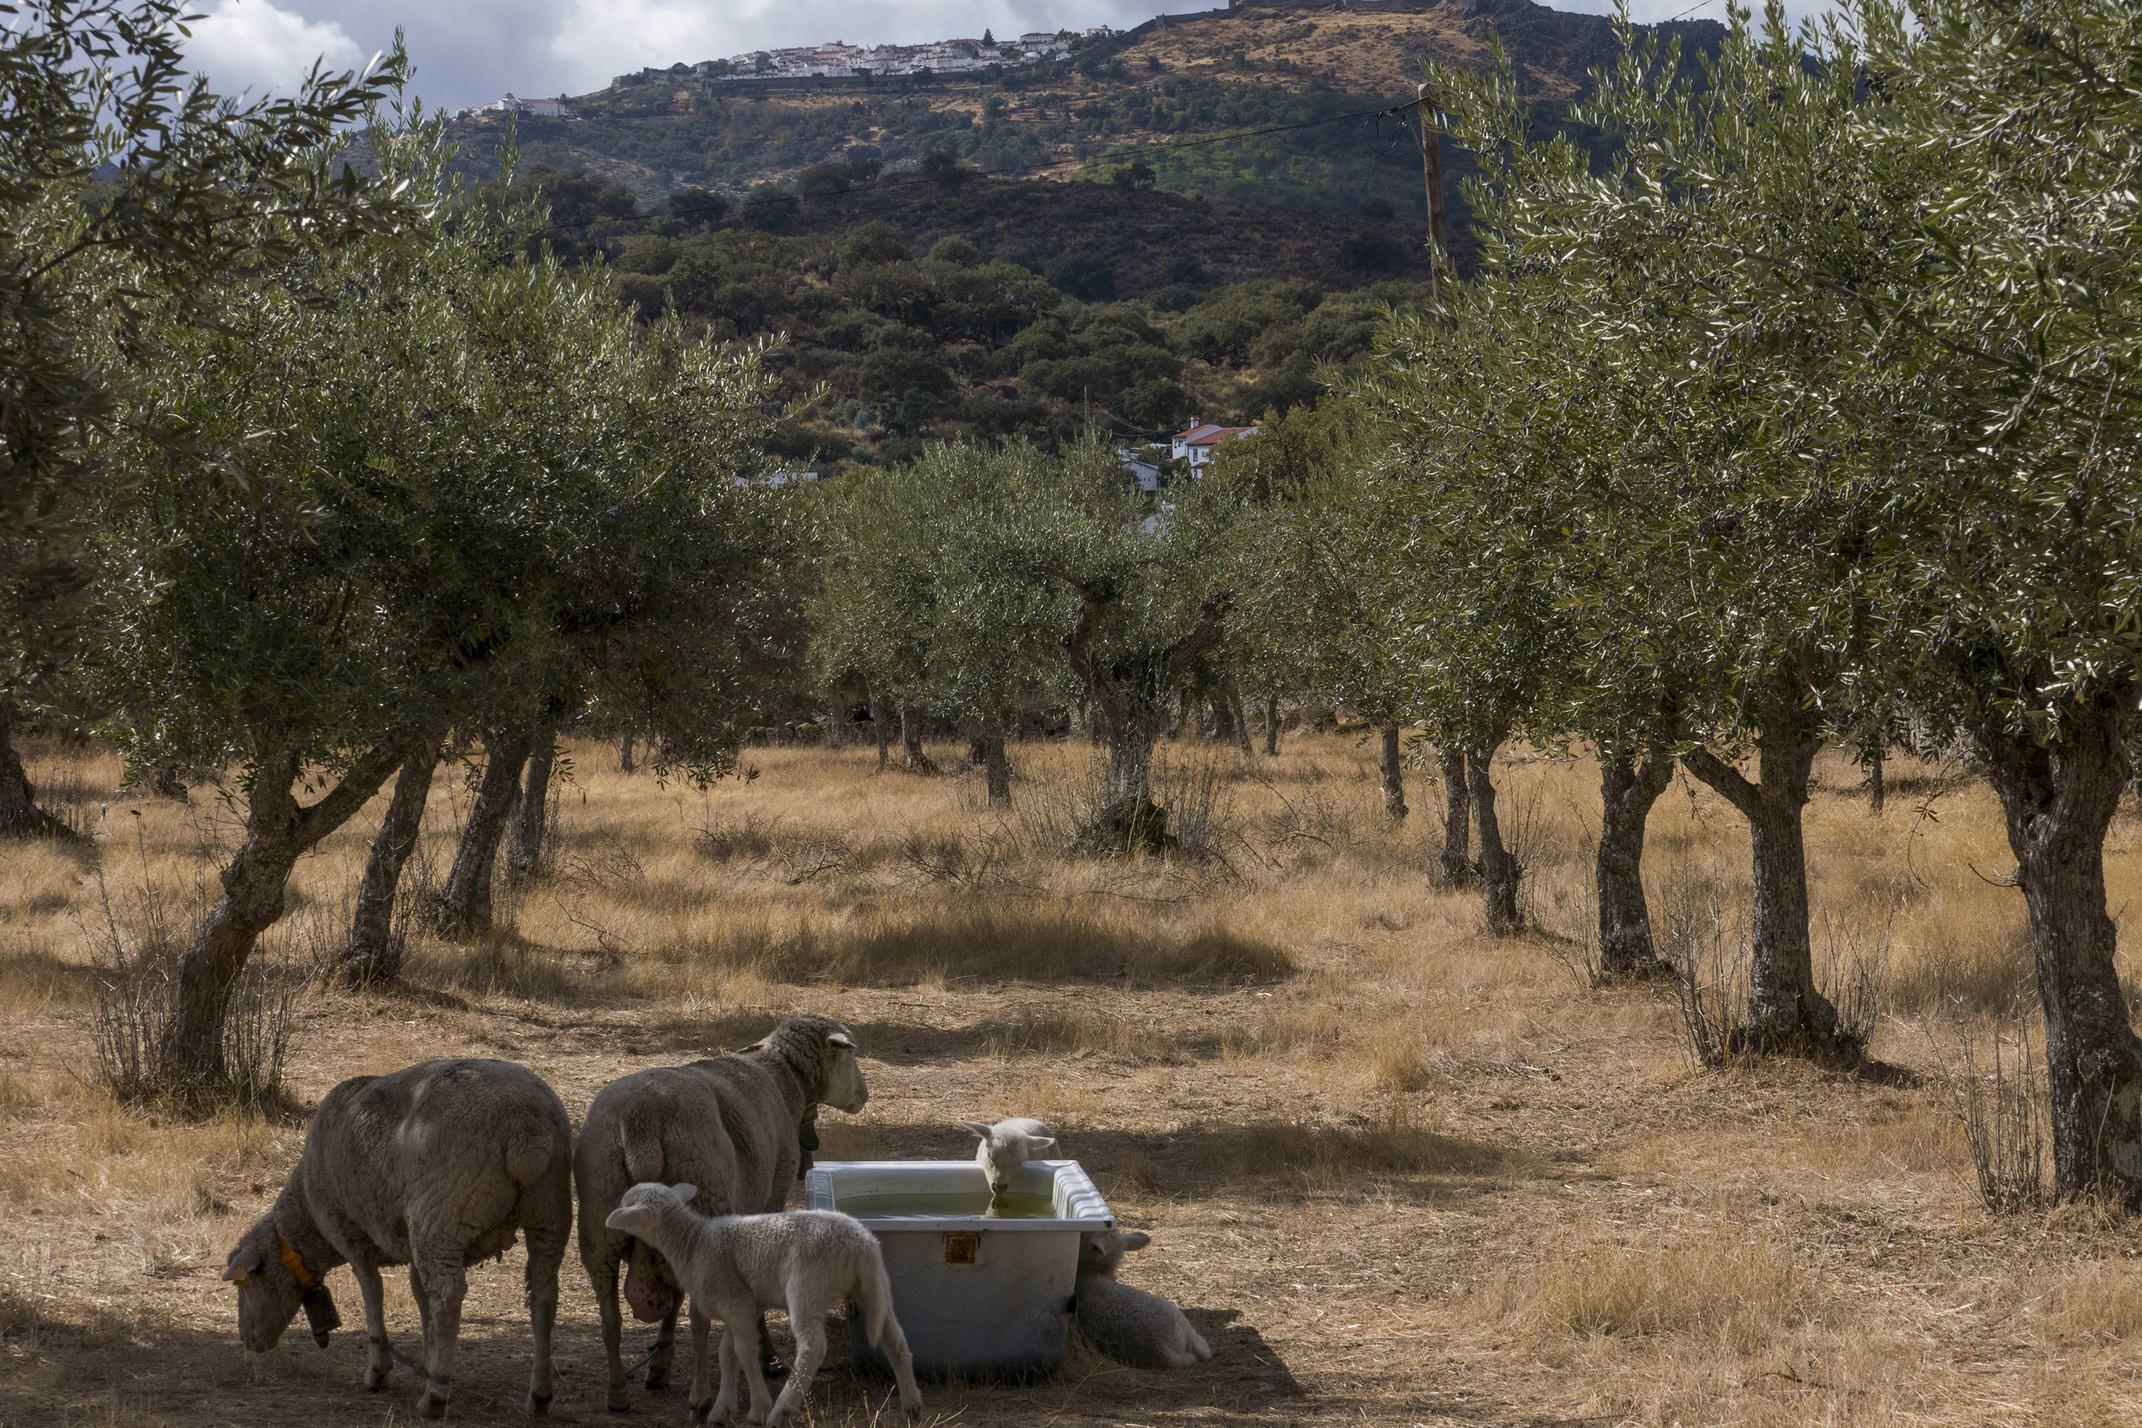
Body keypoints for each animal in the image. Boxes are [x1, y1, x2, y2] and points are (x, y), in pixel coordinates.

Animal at [217, 1061, 578, 1421]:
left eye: (243, 1285)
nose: (247, 1341)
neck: (306, 1217)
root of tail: (527, 1129)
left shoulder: (350, 1233)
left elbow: (372, 1291)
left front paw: (379, 1370)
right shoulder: (410, 1239)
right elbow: (420, 1298)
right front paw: (429, 1357)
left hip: (441, 1216)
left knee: (448, 1297)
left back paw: (434, 1398)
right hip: (548, 1210)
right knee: (544, 1295)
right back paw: (539, 1396)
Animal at [578, 1014, 869, 1421]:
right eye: (851, 1055)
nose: (865, 1093)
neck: (783, 1078)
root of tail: (641, 1122)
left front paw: (660, 1367)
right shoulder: (771, 1196)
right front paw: (767, 1358)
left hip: (598, 1215)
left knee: (610, 1316)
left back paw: (619, 1391)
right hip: (702, 1193)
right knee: (698, 1317)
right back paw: (700, 1396)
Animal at [604, 1181, 921, 1428]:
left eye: (625, 1203)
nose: (610, 1223)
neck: (692, 1243)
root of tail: (860, 1245)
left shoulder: (734, 1301)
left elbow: (745, 1353)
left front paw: (757, 1408)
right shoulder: (741, 1305)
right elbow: (727, 1355)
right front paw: (721, 1410)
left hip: (808, 1286)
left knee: (813, 1347)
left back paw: (782, 1409)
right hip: (874, 1286)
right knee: (895, 1339)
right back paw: (912, 1406)